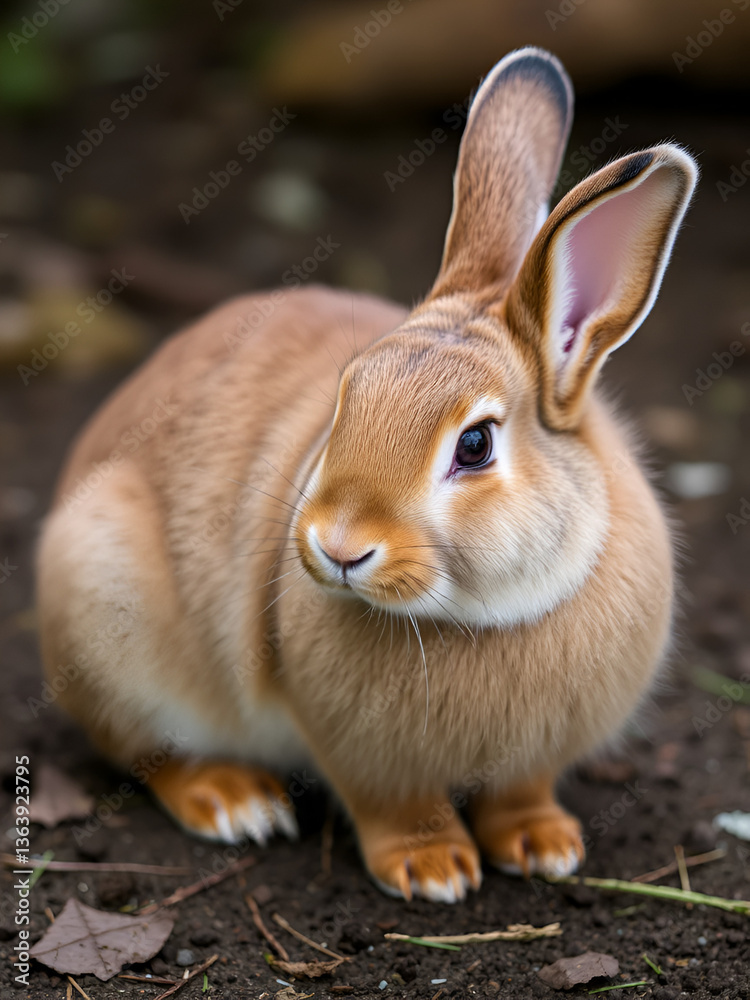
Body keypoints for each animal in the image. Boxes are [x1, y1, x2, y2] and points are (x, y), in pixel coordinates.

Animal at [37, 46, 697, 902]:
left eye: (475, 445)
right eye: (347, 395)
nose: (338, 548)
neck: (479, 616)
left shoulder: (532, 760)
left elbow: (520, 795)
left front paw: (545, 847)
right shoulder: (361, 754)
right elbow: (394, 806)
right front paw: (433, 870)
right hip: (110, 606)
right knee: (147, 752)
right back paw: (237, 803)